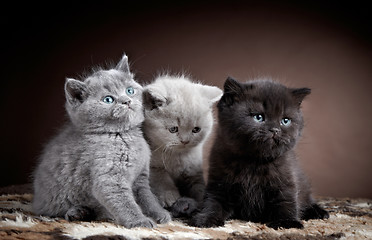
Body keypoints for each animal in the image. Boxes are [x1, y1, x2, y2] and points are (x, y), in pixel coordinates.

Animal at [32, 54, 171, 229]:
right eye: (108, 99)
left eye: (129, 90)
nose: (126, 101)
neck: (123, 135)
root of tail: (36, 202)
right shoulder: (109, 178)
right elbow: (125, 203)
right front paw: (140, 222)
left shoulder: (141, 177)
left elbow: (147, 197)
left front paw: (159, 214)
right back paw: (77, 212)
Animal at [192, 77, 328, 229]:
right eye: (258, 117)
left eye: (285, 120)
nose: (275, 130)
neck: (254, 161)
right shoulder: (219, 182)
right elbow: (213, 202)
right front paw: (206, 219)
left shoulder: (286, 179)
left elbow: (286, 200)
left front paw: (287, 223)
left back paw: (318, 212)